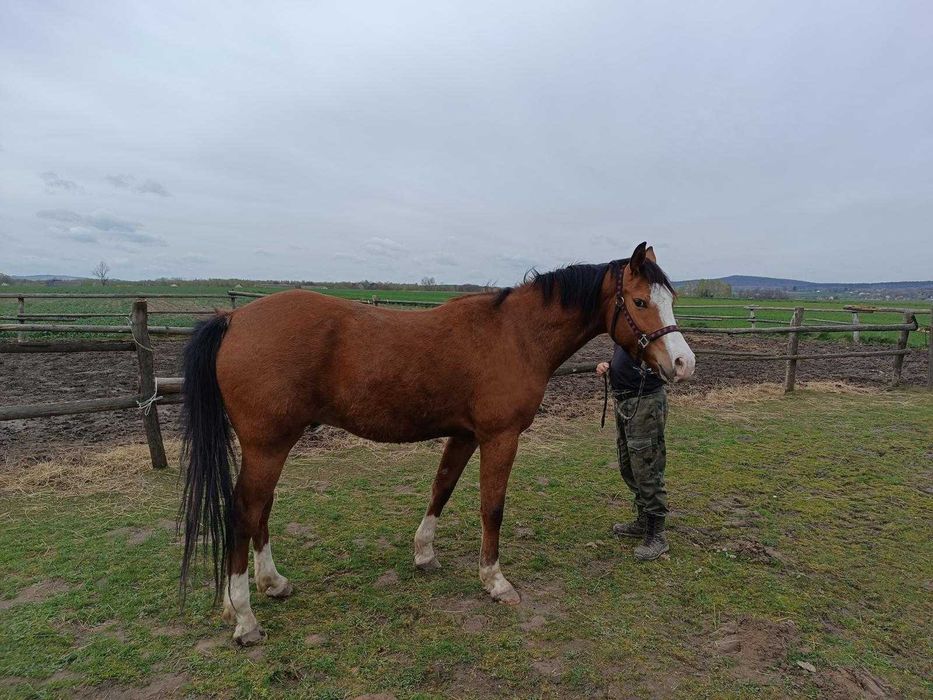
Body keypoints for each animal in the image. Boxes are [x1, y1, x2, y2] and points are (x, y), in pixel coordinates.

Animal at [179, 241, 695, 645]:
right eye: (639, 301)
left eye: (669, 299)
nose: (683, 363)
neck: (515, 335)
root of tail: (233, 317)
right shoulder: (500, 437)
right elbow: (492, 507)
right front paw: (495, 581)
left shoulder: (465, 434)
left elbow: (441, 488)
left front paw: (424, 554)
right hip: (268, 447)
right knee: (244, 513)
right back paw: (245, 618)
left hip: (272, 447)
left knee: (260, 511)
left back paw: (272, 583)